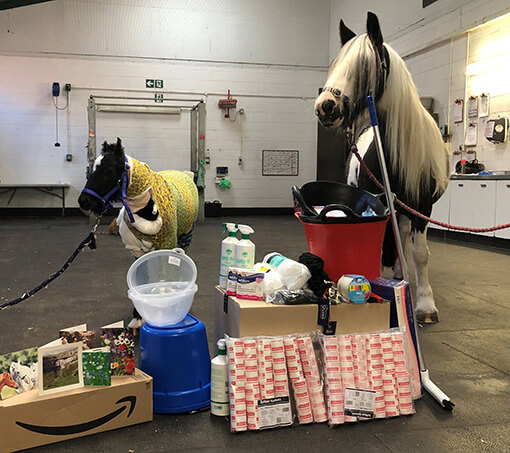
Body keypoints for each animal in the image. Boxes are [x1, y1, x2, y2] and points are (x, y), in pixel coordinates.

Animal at [78, 138, 199, 324]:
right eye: (93, 168)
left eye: (109, 169)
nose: (84, 201)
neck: (147, 211)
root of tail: (186, 174)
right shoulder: (137, 251)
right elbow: (141, 275)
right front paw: (138, 315)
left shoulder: (167, 245)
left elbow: (165, 272)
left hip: (186, 236)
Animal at [314, 10, 450, 322]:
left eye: (365, 66)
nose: (325, 106)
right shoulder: (378, 202)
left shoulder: (422, 208)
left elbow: (420, 253)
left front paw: (425, 306)